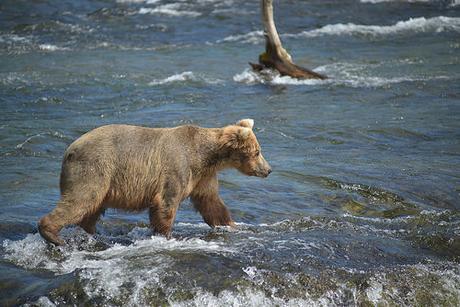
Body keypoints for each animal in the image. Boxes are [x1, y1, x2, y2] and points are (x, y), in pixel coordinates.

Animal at [39, 119, 272, 247]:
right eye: (258, 151)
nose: (268, 170)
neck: (204, 156)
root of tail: (69, 150)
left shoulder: (202, 177)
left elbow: (212, 203)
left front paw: (233, 225)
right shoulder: (178, 167)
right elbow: (166, 203)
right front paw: (166, 236)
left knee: (91, 209)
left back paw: (93, 233)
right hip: (95, 169)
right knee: (81, 199)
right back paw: (53, 235)